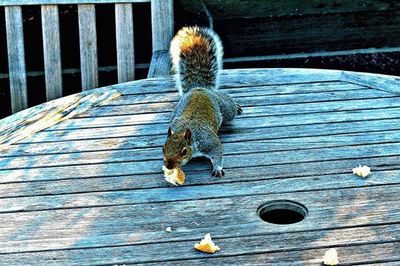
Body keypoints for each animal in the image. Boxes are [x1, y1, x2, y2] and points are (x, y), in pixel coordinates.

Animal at [162, 26, 241, 177]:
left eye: (184, 152)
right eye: (163, 148)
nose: (168, 166)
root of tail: (199, 88)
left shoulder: (208, 142)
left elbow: (218, 151)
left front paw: (217, 168)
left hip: (224, 107)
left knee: (228, 104)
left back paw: (236, 106)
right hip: (176, 109)